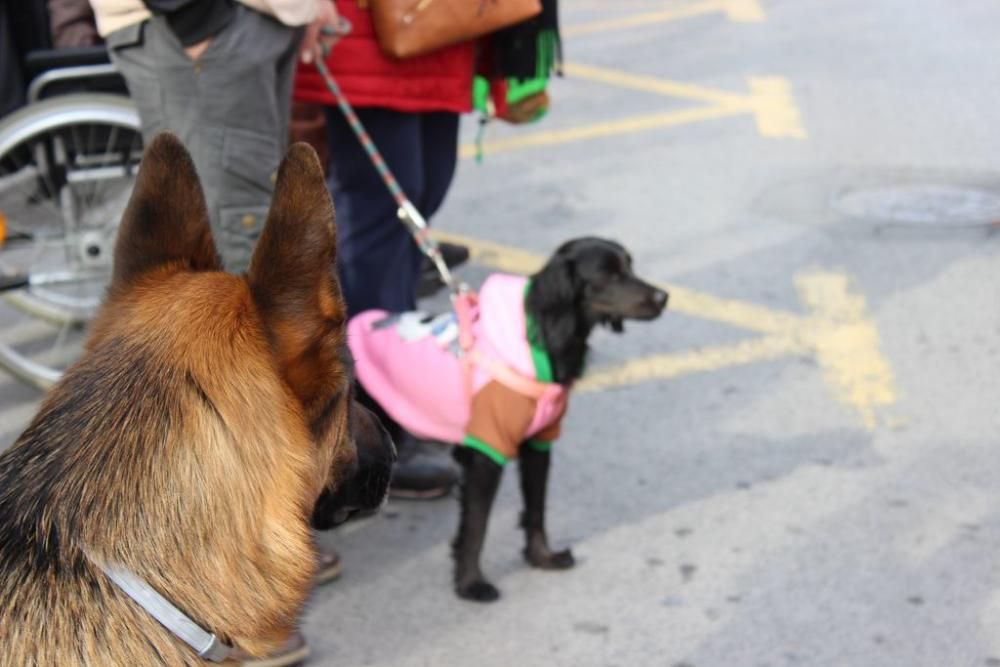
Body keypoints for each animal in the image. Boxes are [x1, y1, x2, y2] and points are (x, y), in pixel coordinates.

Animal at [348, 237, 668, 604]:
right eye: (608, 274)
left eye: (630, 266)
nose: (663, 297)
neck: (544, 336)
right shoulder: (486, 453)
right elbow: (477, 525)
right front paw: (471, 584)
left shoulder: (539, 444)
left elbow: (536, 509)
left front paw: (542, 557)